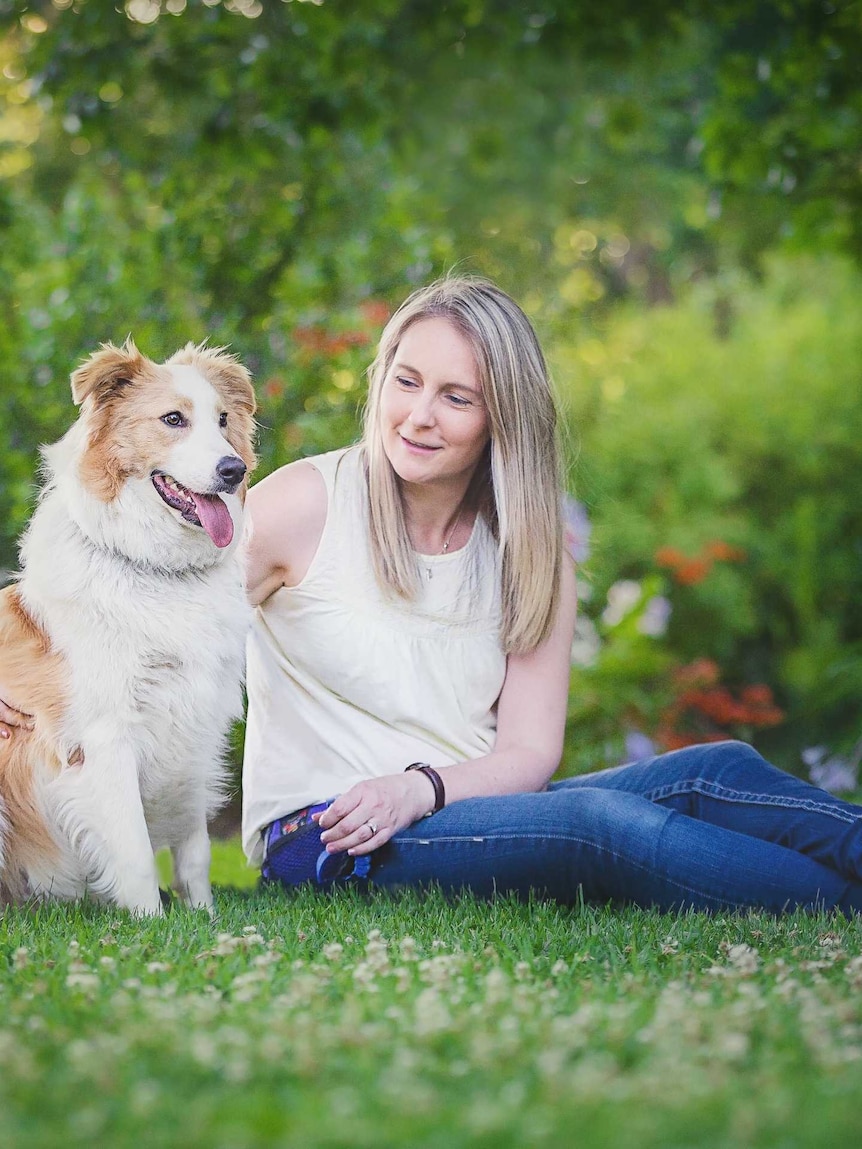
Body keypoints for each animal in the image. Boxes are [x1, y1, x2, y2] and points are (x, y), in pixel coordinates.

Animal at [0, 340, 256, 914]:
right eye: (173, 419)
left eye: (224, 420)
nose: (233, 470)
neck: (157, 570)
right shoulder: (106, 736)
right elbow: (135, 849)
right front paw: (150, 921)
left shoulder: (195, 725)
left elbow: (195, 852)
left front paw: (202, 915)